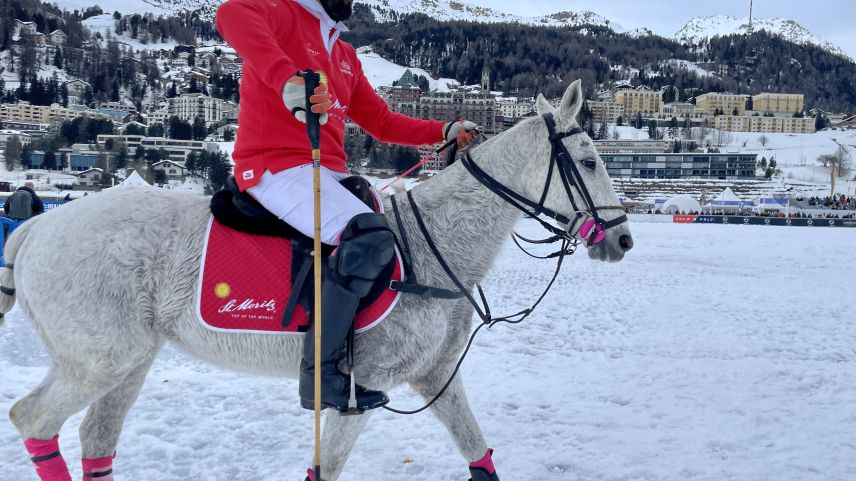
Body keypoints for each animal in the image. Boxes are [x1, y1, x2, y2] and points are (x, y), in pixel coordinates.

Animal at [0, 80, 628, 478]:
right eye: (590, 162)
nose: (622, 240)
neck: (434, 246)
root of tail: (35, 228)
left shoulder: (435, 377)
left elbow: (479, 455)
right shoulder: (360, 391)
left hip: (127, 360)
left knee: (96, 439)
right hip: (98, 359)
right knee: (33, 418)